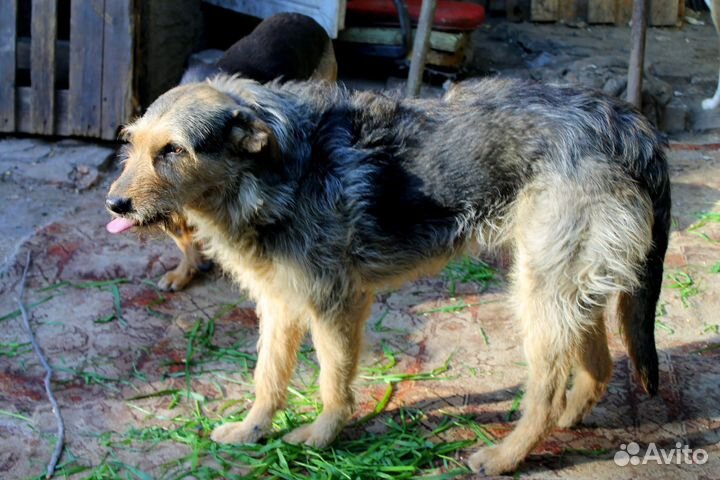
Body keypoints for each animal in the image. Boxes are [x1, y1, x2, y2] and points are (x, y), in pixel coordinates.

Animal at [104, 77, 672, 474]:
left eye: (173, 150)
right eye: (132, 144)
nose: (114, 203)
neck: (273, 173)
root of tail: (631, 125)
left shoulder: (335, 304)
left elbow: (332, 382)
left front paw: (320, 439)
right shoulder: (281, 302)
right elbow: (268, 376)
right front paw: (252, 431)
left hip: (541, 291)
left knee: (548, 389)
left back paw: (505, 456)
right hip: (568, 284)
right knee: (598, 362)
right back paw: (570, 417)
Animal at [106, 13, 338, 290]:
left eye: (175, 149)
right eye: (132, 142)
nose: (114, 204)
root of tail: (302, 17)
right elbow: (184, 239)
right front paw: (186, 270)